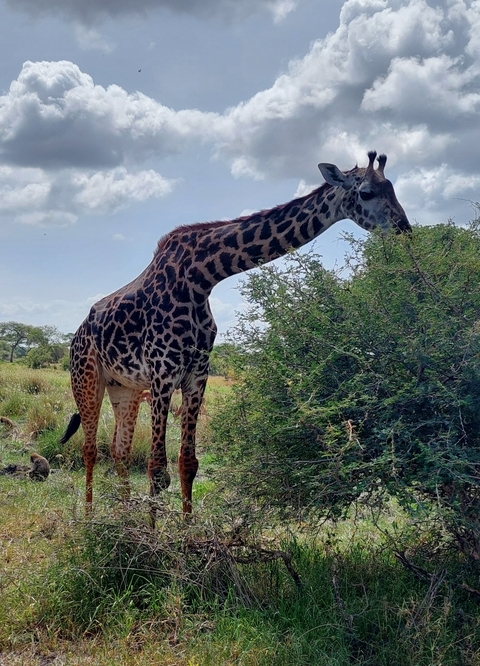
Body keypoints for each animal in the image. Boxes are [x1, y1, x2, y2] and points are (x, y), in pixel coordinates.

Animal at [60, 151, 410, 522]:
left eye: (392, 188)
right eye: (368, 193)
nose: (405, 229)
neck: (201, 278)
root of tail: (77, 334)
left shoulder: (197, 374)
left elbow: (187, 464)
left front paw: (186, 532)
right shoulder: (162, 373)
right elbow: (157, 468)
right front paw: (152, 536)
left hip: (123, 388)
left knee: (119, 451)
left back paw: (123, 517)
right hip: (87, 380)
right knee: (89, 449)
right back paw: (89, 519)